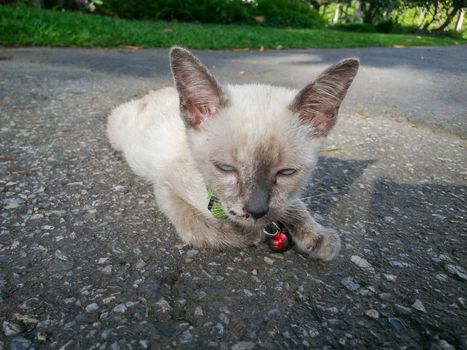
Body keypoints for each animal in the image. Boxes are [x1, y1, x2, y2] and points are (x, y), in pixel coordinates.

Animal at [108, 45, 360, 260]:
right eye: (225, 168)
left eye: (287, 172)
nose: (257, 211)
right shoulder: (166, 189)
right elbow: (205, 230)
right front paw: (252, 234)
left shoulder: (285, 199)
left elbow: (295, 205)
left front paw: (319, 237)